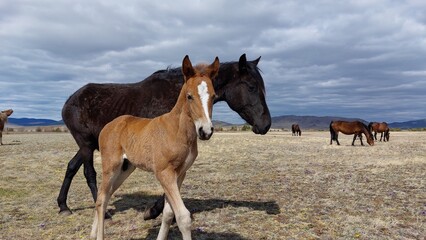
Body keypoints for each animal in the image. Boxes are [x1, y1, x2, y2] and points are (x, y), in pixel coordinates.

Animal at [58, 54, 272, 218]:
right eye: (251, 87)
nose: (266, 124)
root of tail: (69, 101)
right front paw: (153, 211)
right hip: (87, 145)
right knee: (89, 173)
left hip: (89, 145)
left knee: (71, 166)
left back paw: (63, 206)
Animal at [90, 55, 220, 240]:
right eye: (189, 96)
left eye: (214, 96)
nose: (206, 131)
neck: (177, 130)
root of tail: (107, 126)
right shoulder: (164, 173)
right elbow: (183, 216)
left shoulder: (179, 174)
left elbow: (168, 213)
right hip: (111, 166)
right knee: (101, 199)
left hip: (125, 168)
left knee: (106, 195)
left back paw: (92, 233)